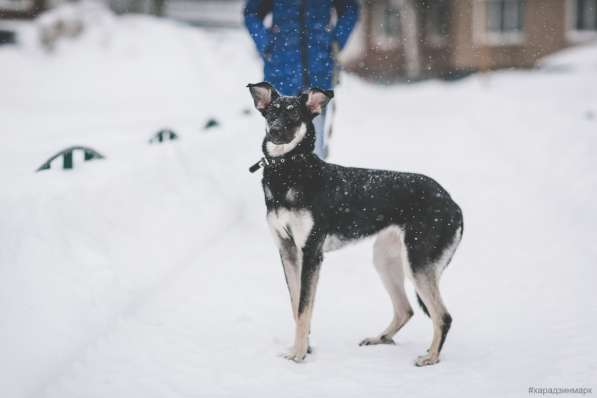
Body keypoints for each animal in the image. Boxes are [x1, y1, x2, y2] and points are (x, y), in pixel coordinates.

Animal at [249, 81, 464, 366]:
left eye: (294, 115)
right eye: (272, 112)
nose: (275, 131)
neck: (289, 170)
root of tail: (451, 202)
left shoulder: (311, 253)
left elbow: (304, 307)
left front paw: (298, 354)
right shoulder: (287, 250)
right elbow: (296, 306)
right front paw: (303, 347)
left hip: (417, 262)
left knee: (443, 316)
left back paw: (431, 357)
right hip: (385, 259)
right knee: (405, 309)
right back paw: (380, 338)